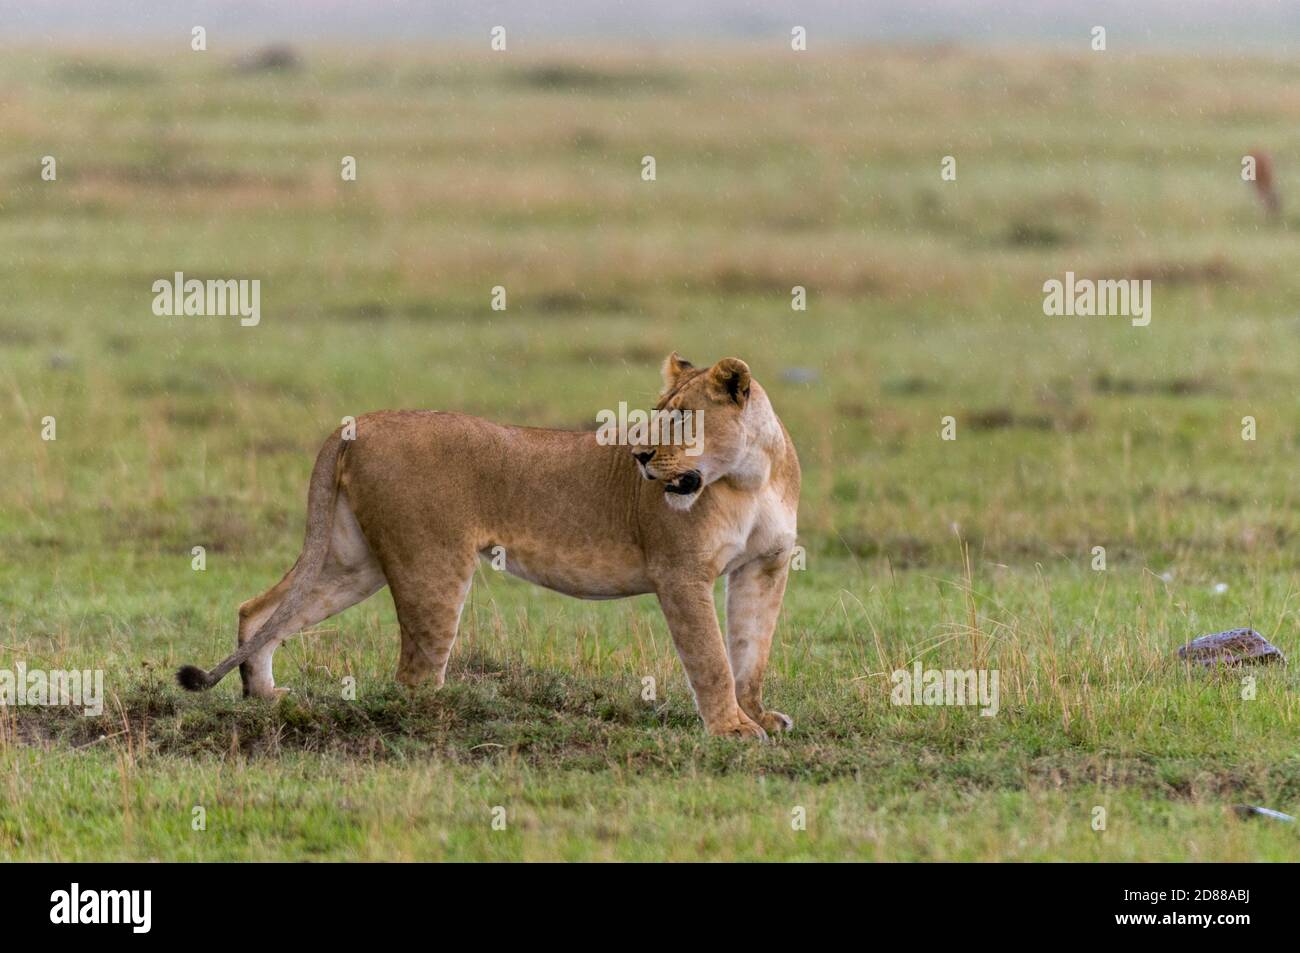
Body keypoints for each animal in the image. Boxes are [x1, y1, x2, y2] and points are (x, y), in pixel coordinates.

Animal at [177, 353, 800, 739]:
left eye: (686, 418)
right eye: (656, 417)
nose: (640, 457)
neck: (746, 478)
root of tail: (360, 424)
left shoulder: (765, 567)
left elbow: (751, 651)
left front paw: (758, 715)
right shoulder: (680, 572)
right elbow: (712, 658)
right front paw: (732, 730)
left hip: (352, 562)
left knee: (260, 610)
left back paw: (265, 696)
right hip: (434, 563)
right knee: (413, 679)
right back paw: (452, 718)